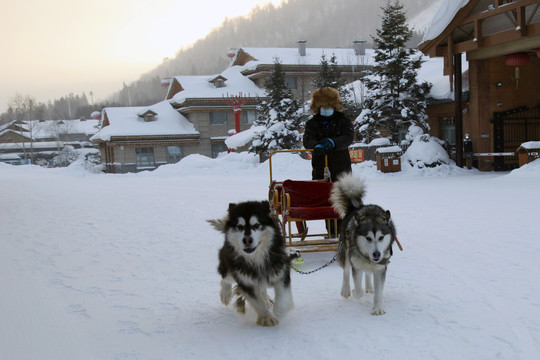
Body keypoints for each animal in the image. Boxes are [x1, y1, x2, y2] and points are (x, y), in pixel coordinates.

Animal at [330, 174, 396, 316]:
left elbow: (378, 292)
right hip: (346, 250)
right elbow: (358, 289)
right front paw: (356, 291)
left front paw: (377, 308)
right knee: (346, 270)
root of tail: (355, 208)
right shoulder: (356, 265)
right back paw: (346, 289)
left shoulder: (380, 268)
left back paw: (369, 286)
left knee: (367, 273)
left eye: (381, 237)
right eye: (368, 238)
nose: (376, 254)